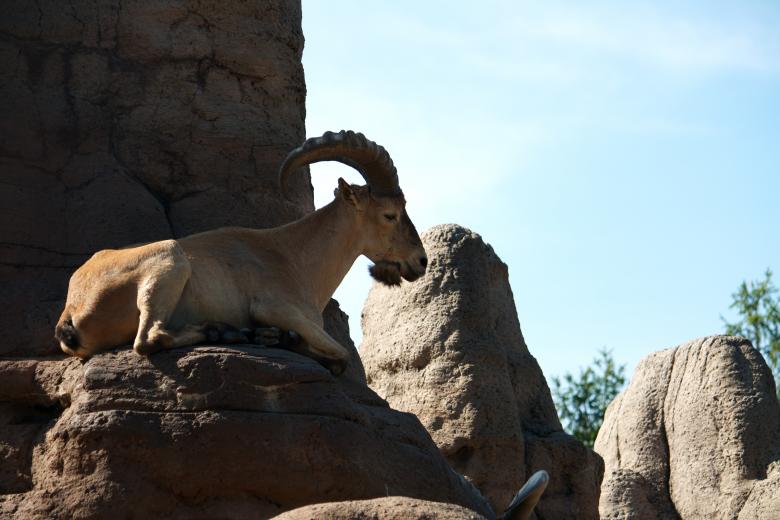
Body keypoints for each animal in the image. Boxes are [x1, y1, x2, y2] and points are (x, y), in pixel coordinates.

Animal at [55, 130, 428, 373]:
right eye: (390, 215)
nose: (420, 261)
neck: (294, 258)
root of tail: (73, 309)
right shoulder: (275, 307)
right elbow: (340, 355)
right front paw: (272, 336)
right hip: (170, 263)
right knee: (149, 338)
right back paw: (223, 331)